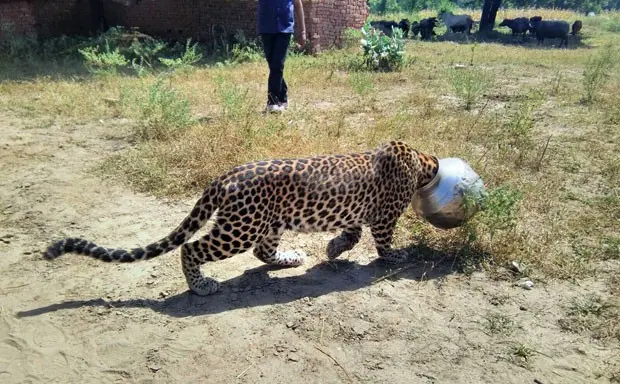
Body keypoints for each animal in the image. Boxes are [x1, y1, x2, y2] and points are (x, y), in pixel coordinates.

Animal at [43, 142, 438, 296]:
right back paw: (201, 286)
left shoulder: (357, 213)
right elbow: (383, 242)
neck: (420, 160)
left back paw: (292, 258)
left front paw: (332, 248)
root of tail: (224, 176)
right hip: (239, 228)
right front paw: (397, 255)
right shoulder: (385, 216)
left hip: (269, 223)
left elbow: (351, 233)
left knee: (262, 253)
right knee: (190, 247)